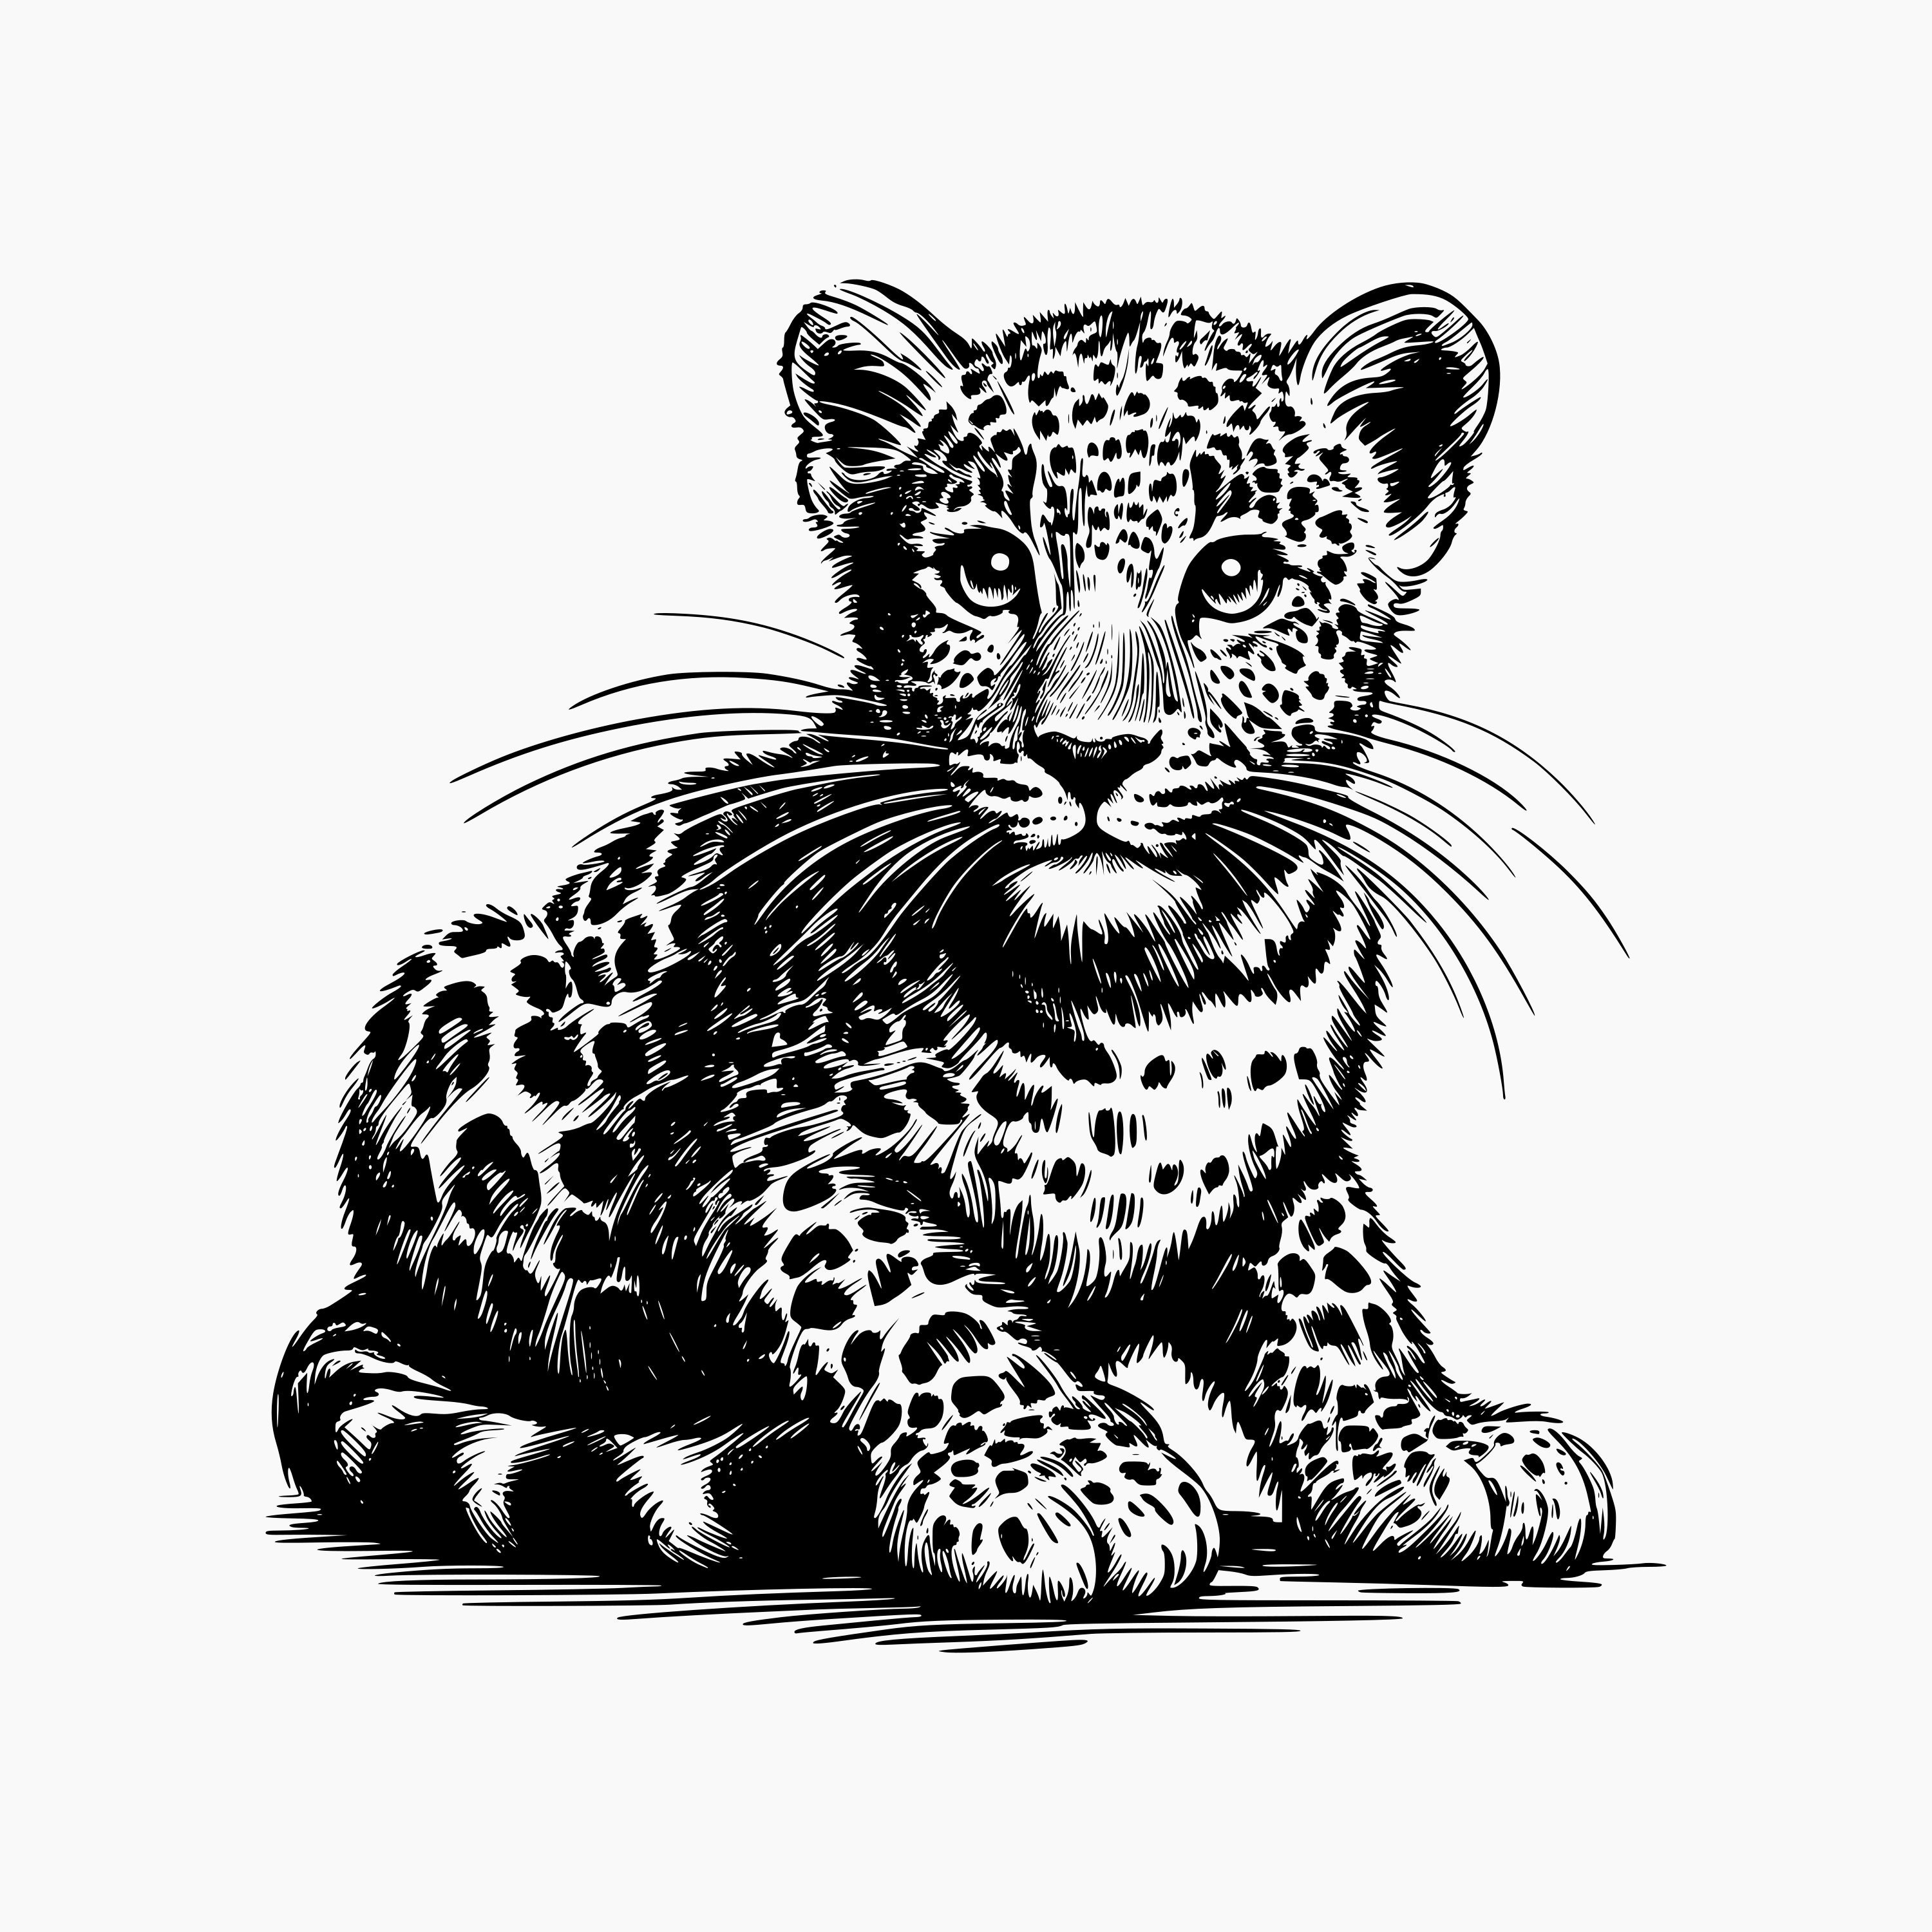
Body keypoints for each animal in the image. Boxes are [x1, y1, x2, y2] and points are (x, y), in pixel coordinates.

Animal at [274, 279, 1615, 1605]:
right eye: (986, 569)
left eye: (1234, 578)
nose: (1089, 754)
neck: (1155, 986)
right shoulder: (769, 1146)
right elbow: (912, 1296)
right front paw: (1056, 1479)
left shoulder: (1289, 1162)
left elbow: (1338, 1292)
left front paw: (1435, 1448)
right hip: (468, 987)